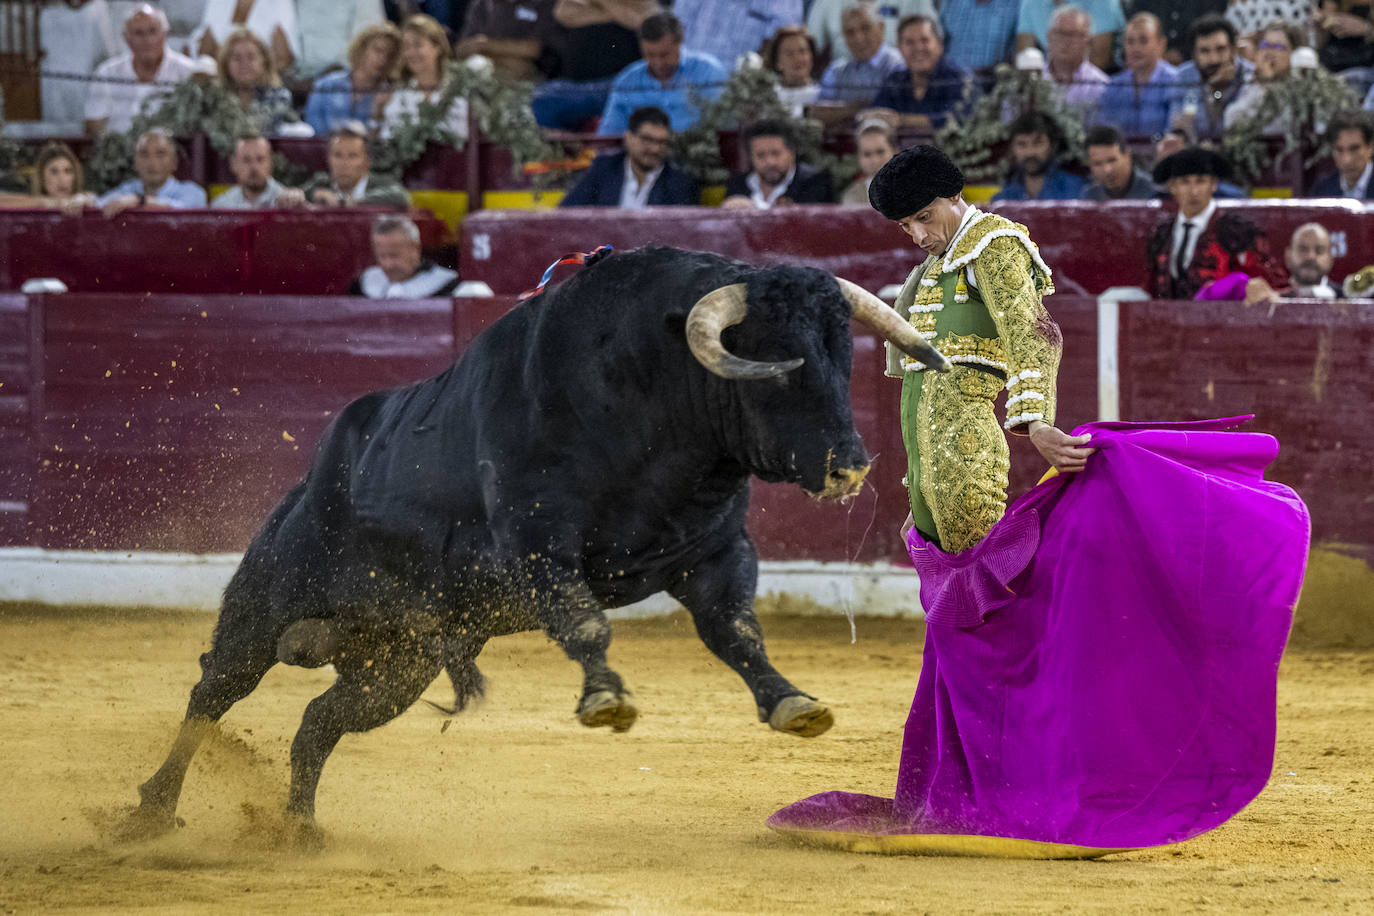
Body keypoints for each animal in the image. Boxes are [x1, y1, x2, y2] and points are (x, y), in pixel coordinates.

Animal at [131, 245, 945, 840]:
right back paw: (151, 811)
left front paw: (793, 704)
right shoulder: (536, 548)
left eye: (842, 358)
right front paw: (605, 699)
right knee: (211, 696)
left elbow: (736, 631)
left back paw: (296, 829)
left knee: (316, 725)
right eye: (775, 367)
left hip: (397, 664)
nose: (849, 466)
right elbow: (583, 622)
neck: (648, 409)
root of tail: (313, 476)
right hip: (267, 603)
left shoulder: (713, 553)